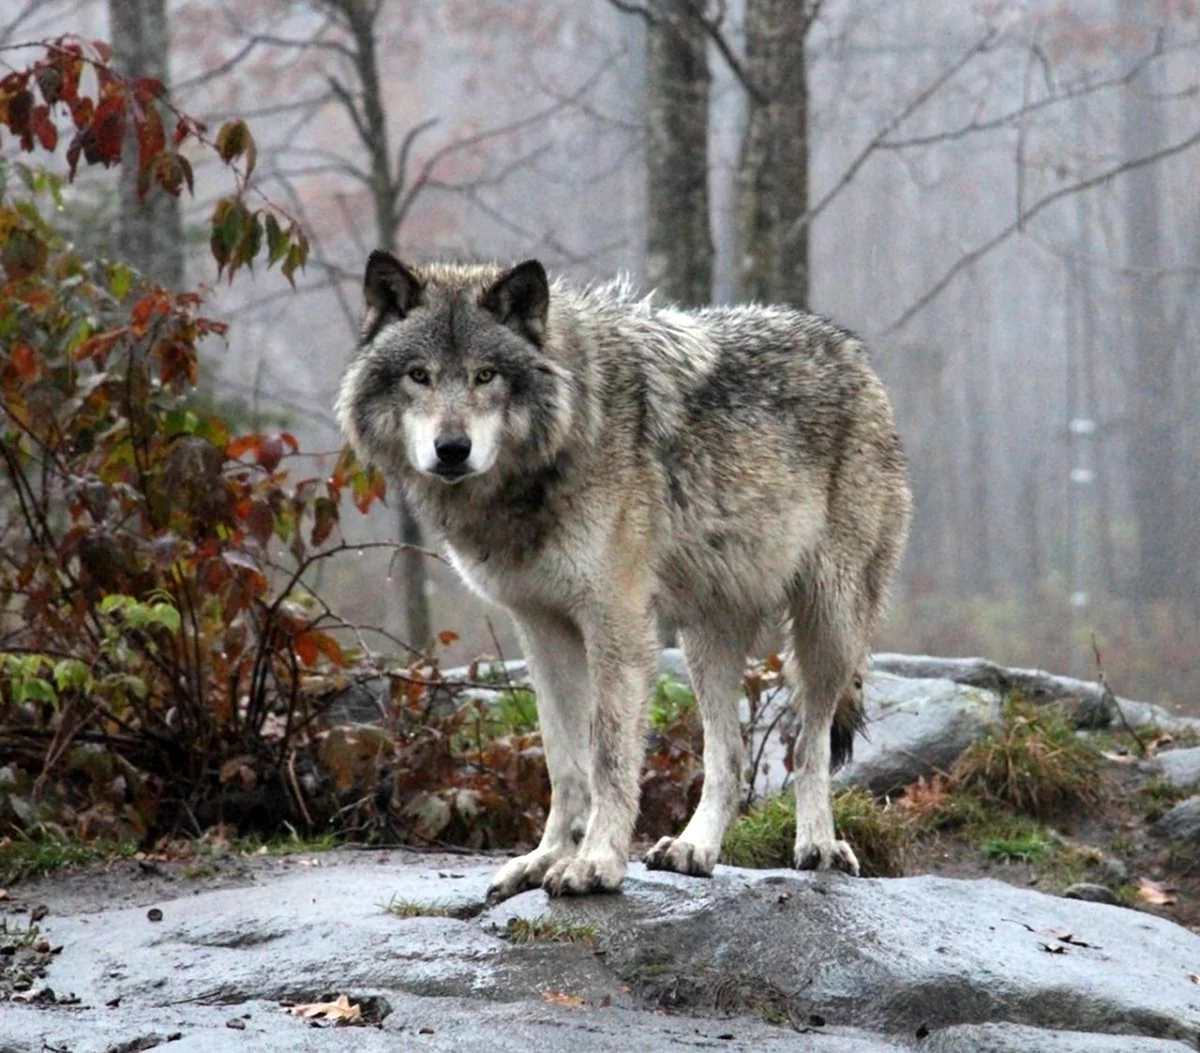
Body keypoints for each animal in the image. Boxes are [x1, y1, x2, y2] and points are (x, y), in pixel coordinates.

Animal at [333, 251, 912, 901]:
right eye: (419, 376)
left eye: (486, 376)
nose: (452, 449)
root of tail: (851, 351)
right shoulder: (542, 629)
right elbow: (565, 764)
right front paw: (546, 857)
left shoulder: (616, 624)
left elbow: (609, 756)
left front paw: (596, 863)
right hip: (706, 642)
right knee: (731, 759)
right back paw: (693, 848)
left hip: (828, 627)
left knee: (810, 744)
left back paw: (819, 846)